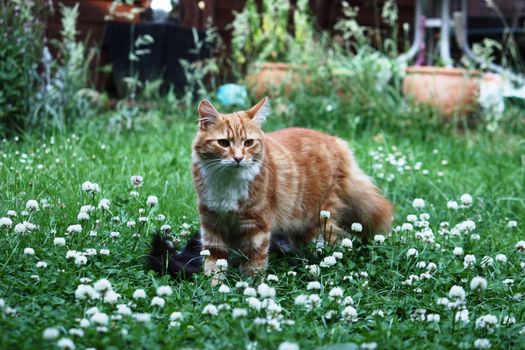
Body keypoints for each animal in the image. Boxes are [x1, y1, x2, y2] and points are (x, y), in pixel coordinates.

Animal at [190, 98, 390, 282]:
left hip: (321, 218)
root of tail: (336, 142)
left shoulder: (256, 225)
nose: (238, 158)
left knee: (332, 245)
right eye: (224, 143)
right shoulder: (211, 223)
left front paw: (250, 289)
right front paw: (215, 288)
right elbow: (214, 262)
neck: (228, 182)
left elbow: (254, 264)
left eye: (248, 143)